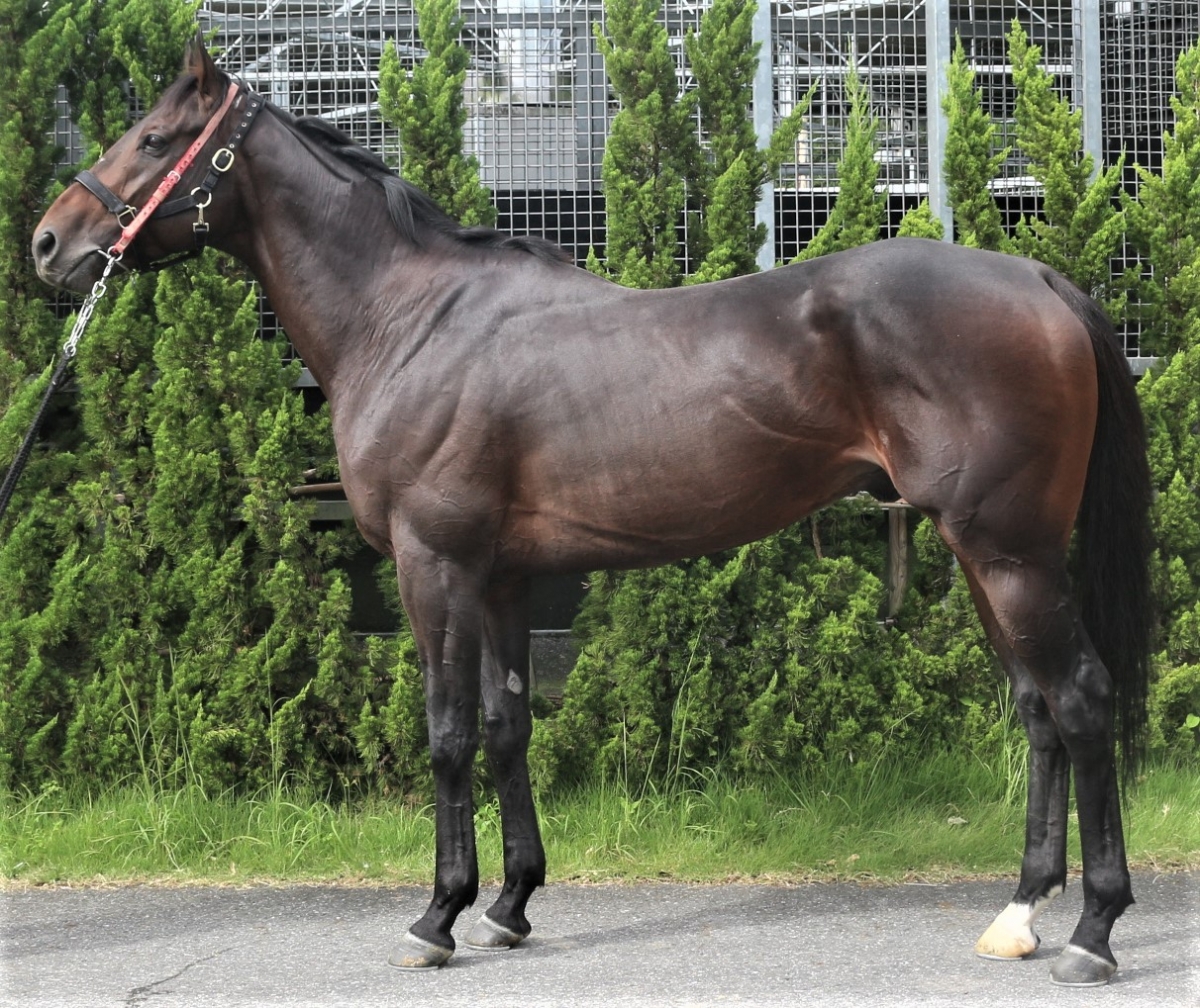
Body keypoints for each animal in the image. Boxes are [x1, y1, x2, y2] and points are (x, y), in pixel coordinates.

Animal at [32, 36, 1153, 988]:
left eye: (155, 139)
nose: (49, 244)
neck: (410, 319)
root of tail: (1039, 277)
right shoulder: (502, 577)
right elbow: (506, 725)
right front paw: (510, 906)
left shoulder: (433, 563)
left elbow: (447, 733)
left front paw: (437, 917)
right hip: (985, 554)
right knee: (1039, 712)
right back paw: (1019, 915)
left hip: (1009, 551)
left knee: (1082, 700)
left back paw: (1093, 931)